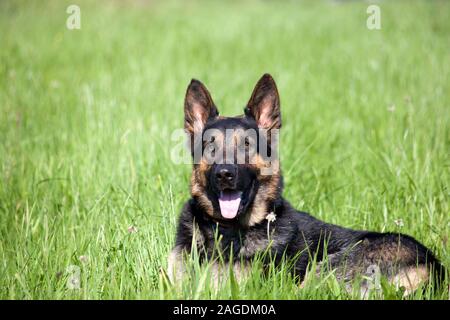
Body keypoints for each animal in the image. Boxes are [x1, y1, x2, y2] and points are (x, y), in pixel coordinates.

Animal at [167, 74, 444, 296]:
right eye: (210, 146)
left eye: (246, 144)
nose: (225, 174)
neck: (225, 231)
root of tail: (433, 267)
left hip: (323, 272)